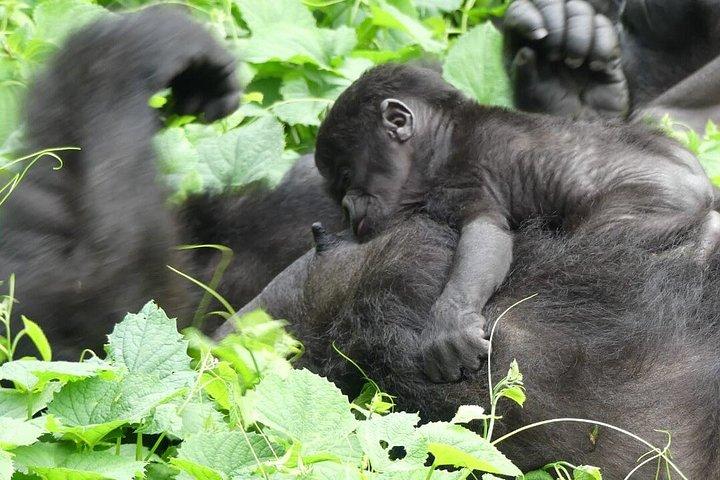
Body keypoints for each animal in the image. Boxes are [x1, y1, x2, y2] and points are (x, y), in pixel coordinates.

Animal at [314, 62, 720, 383]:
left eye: (347, 176)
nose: (348, 209)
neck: (442, 136)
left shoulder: (460, 180)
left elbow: (485, 235)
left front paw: (449, 323)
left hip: (654, 198)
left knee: (610, 235)